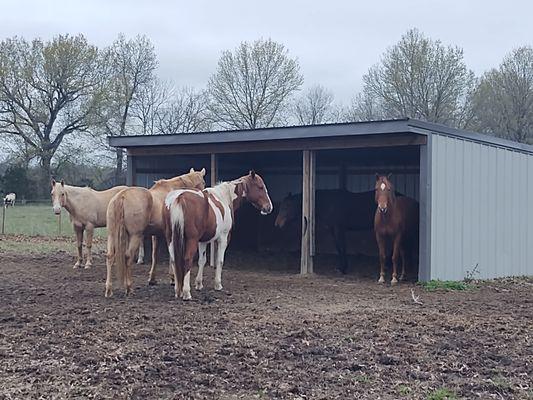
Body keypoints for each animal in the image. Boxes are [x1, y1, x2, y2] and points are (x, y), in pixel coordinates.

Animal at [104, 168, 206, 296]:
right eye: (203, 182)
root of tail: (122, 196)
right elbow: (171, 256)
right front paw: (173, 279)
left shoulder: (157, 235)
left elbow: (155, 255)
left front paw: (152, 279)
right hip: (135, 236)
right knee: (128, 256)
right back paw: (129, 287)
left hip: (112, 235)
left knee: (110, 257)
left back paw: (108, 289)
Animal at [163, 171, 272, 300]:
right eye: (260, 187)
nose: (269, 207)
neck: (224, 198)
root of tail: (180, 197)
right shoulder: (223, 239)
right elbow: (220, 260)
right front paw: (218, 284)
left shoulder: (203, 241)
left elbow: (202, 260)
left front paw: (199, 284)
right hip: (191, 240)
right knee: (187, 259)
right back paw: (186, 292)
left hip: (171, 239)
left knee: (174, 260)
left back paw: (177, 291)